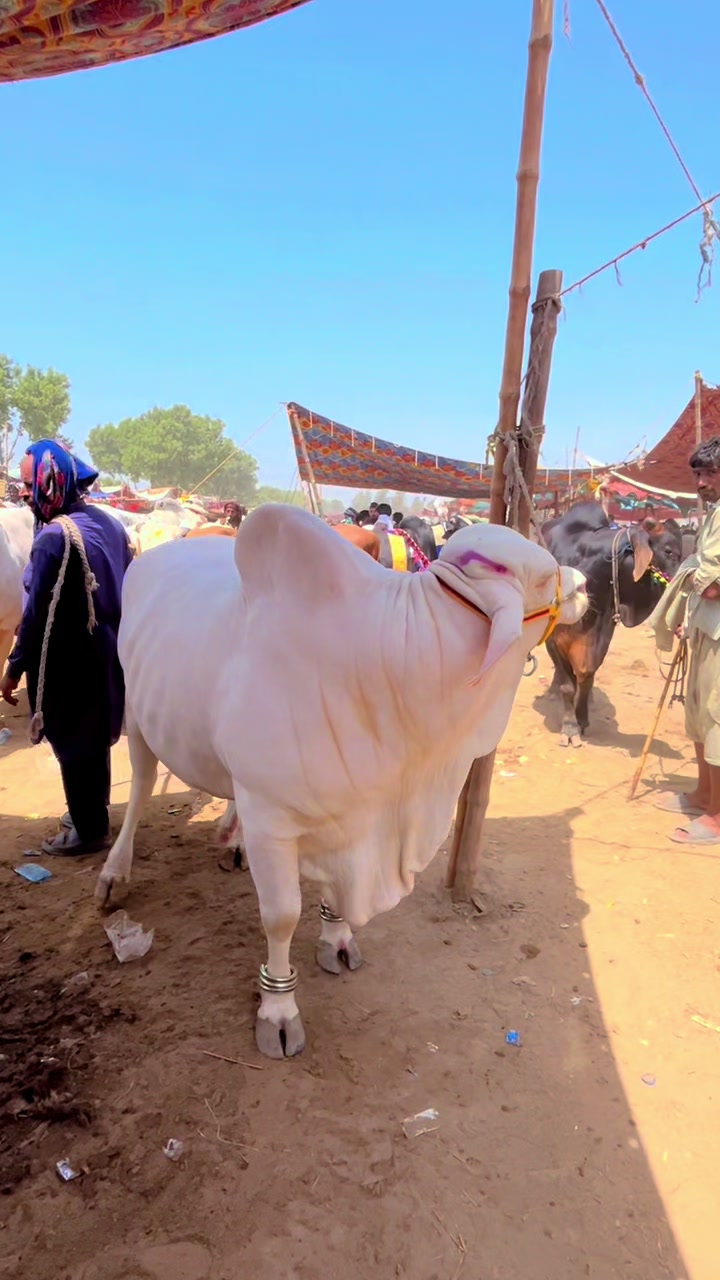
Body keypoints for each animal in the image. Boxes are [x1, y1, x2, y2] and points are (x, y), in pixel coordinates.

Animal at [95, 505, 587, 1058]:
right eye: (545, 575)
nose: (584, 584)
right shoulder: (273, 819)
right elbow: (282, 915)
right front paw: (278, 1009)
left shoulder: (350, 815)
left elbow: (333, 893)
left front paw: (338, 940)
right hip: (137, 713)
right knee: (141, 786)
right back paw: (115, 872)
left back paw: (230, 838)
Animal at [542, 501, 683, 746]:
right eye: (668, 551)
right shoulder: (553, 638)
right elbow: (568, 686)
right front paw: (569, 727)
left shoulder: (602, 633)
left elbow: (586, 677)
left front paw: (582, 719)